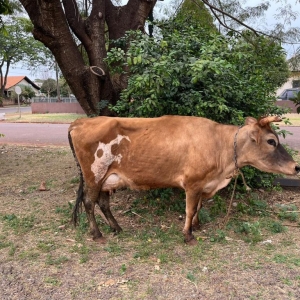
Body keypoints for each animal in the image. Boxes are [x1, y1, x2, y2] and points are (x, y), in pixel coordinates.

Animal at [68, 116, 300, 245]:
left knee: (103, 204)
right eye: (271, 141)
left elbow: (198, 207)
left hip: (107, 179)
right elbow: (189, 209)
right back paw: (97, 234)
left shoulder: (204, 184)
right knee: (89, 203)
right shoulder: (193, 183)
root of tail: (82, 121)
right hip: (94, 176)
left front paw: (197, 226)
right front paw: (188, 235)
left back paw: (116, 227)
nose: (296, 166)